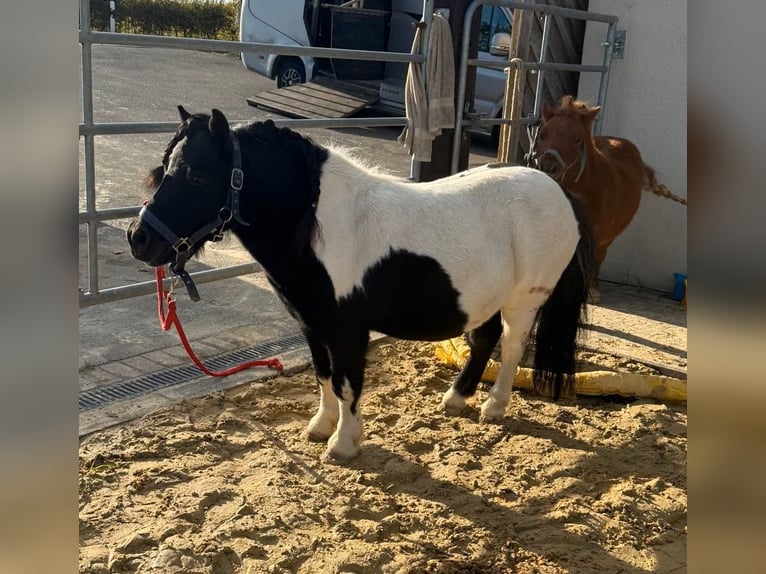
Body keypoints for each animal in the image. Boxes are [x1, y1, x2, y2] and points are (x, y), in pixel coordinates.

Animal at [127, 106, 595, 462]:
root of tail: (560, 192)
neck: (317, 225)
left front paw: (343, 444)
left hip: (523, 299)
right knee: (485, 339)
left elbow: (346, 381)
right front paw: (321, 426)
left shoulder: (347, 329)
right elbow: (323, 375)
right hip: (485, 298)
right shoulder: (311, 324)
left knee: (512, 347)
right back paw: (455, 399)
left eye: (198, 176)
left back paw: (493, 407)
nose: (139, 238)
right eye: (164, 168)